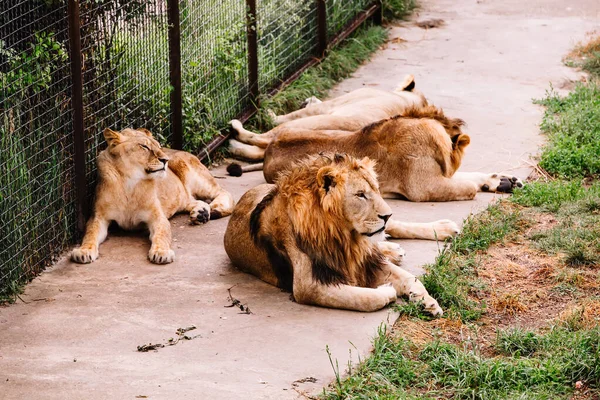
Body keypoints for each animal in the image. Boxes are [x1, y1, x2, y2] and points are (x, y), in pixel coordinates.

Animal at [71, 129, 236, 266]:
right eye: (144, 147)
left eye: (158, 146)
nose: (165, 160)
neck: (130, 183)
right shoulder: (99, 217)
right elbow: (90, 234)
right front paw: (83, 251)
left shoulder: (157, 217)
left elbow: (161, 235)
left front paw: (161, 253)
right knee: (193, 200)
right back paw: (201, 213)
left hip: (194, 174)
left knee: (223, 192)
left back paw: (215, 208)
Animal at [224, 154, 446, 316]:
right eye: (360, 195)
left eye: (376, 190)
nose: (387, 214)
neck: (345, 236)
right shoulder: (309, 286)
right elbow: (366, 299)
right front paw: (387, 290)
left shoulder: (367, 261)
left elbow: (410, 277)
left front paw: (428, 301)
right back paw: (395, 250)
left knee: (392, 228)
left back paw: (444, 228)